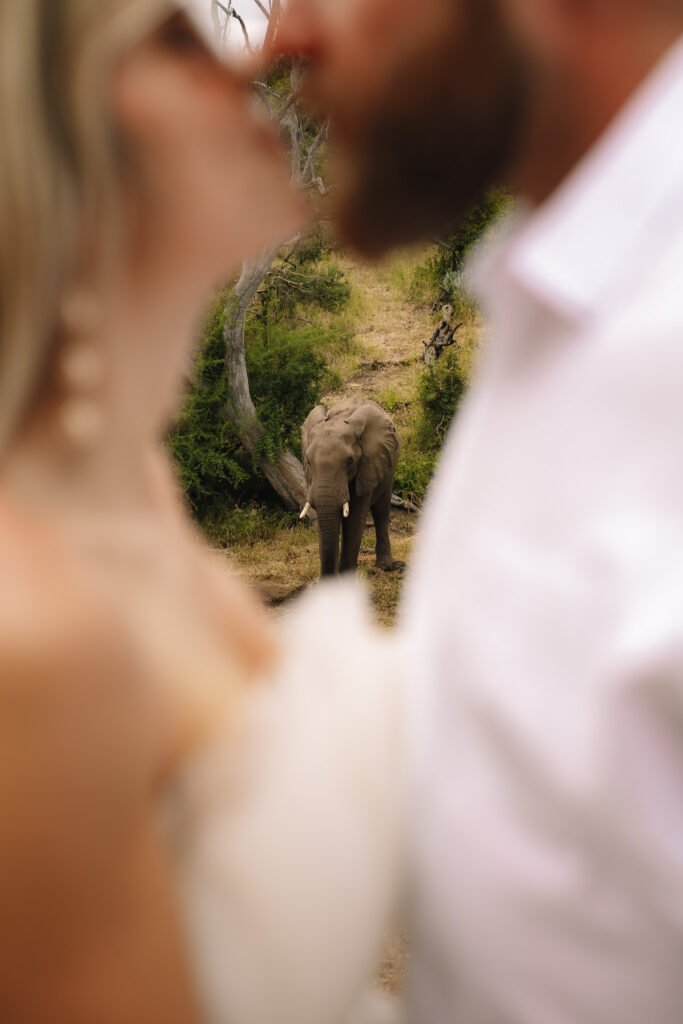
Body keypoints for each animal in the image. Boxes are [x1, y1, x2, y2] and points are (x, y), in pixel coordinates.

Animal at [301, 397, 401, 577]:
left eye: (350, 461)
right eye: (309, 461)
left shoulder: (367, 465)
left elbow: (355, 517)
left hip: (389, 468)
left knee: (381, 510)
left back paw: (385, 566)